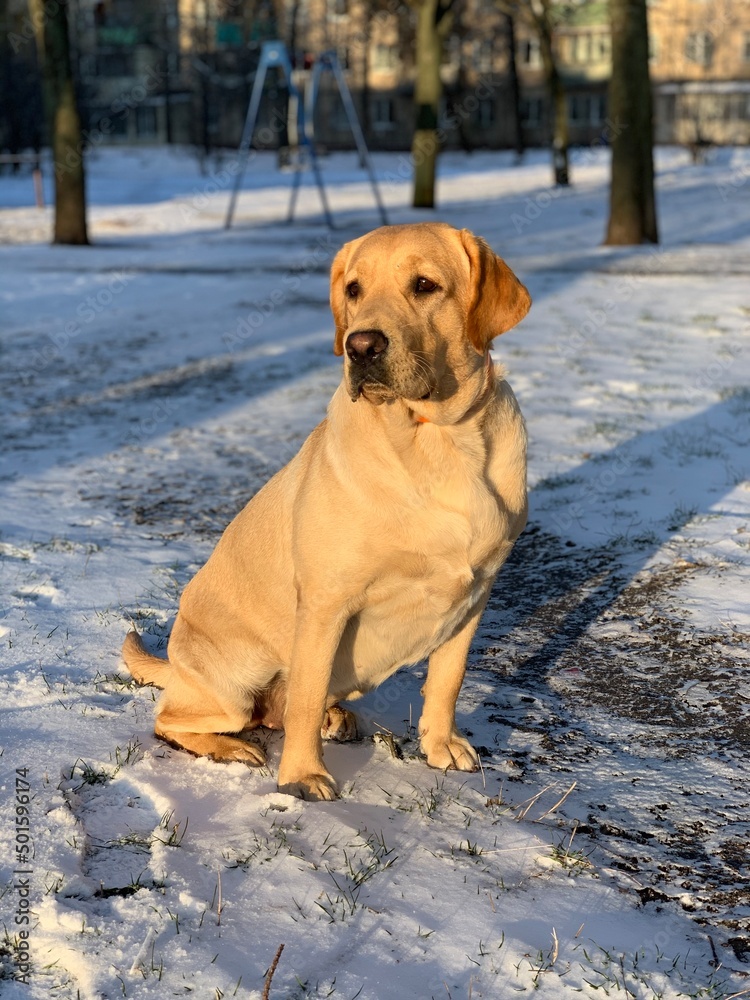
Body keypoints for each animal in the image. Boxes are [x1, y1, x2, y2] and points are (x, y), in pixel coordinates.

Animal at [123, 223, 532, 800]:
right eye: (354, 290)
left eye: (425, 285)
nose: (360, 345)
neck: (437, 440)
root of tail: (175, 664)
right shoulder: (325, 602)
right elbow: (307, 692)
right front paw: (302, 775)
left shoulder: (475, 595)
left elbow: (447, 680)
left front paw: (440, 746)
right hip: (231, 685)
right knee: (175, 719)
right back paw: (235, 746)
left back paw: (334, 720)